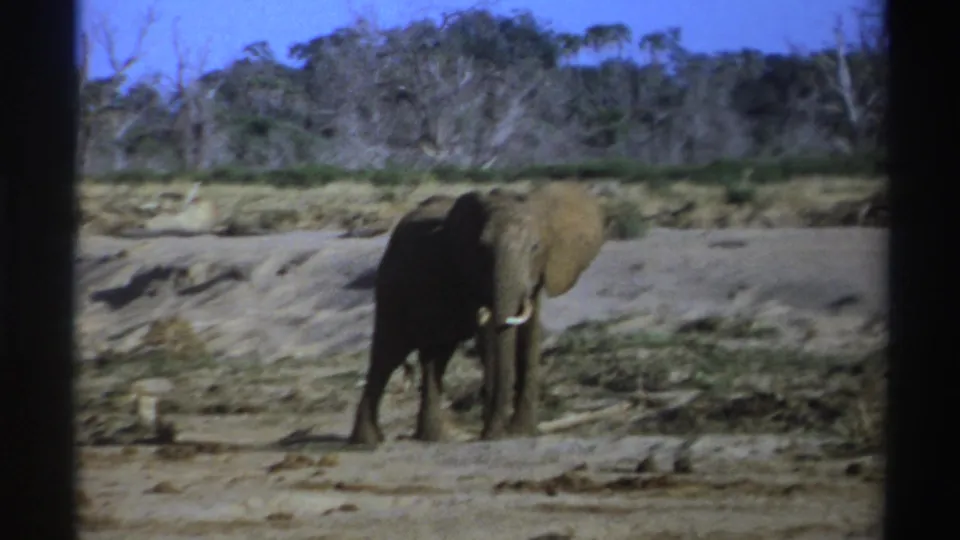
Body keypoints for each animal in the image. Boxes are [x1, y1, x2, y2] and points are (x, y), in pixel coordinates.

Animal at [348, 182, 605, 445]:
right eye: (483, 248)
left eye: (535, 247)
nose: (502, 431)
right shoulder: (472, 276)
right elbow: (490, 338)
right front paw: (495, 435)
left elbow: (530, 338)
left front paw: (523, 432)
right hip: (391, 289)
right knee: (388, 354)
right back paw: (368, 441)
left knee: (435, 356)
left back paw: (433, 438)